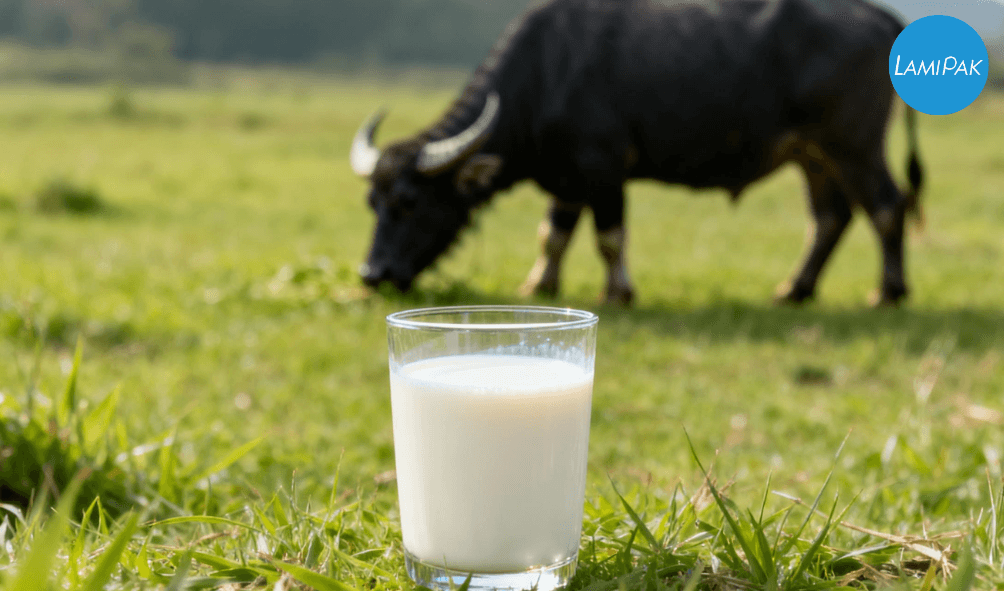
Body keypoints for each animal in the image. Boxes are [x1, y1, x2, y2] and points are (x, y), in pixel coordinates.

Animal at [351, 0, 923, 305]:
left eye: (409, 202)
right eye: (372, 204)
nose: (373, 274)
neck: (545, 75)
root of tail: (882, 18)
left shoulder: (604, 170)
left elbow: (608, 237)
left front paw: (618, 292)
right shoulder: (568, 178)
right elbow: (553, 235)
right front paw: (540, 285)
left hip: (853, 145)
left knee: (886, 206)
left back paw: (888, 292)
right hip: (812, 156)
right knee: (831, 217)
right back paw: (795, 289)